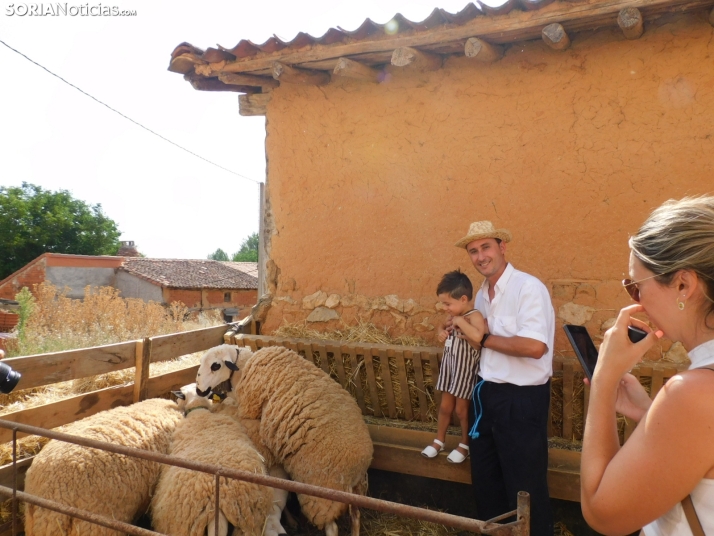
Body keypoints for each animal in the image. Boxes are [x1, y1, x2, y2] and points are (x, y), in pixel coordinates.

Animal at [196, 344, 372, 536]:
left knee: (332, 527)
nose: (198, 390)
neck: (243, 366)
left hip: (322, 495)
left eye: (215, 366)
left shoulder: (248, 408)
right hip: (357, 492)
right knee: (356, 518)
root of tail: (354, 471)